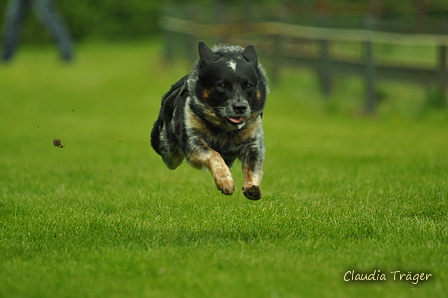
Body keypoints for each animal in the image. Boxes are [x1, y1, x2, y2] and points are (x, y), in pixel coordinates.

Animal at [150, 41, 270, 200]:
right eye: (222, 85)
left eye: (249, 85)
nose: (240, 107)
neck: (225, 129)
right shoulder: (192, 142)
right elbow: (213, 154)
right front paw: (225, 182)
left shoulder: (254, 143)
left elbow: (253, 166)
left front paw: (252, 187)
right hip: (167, 152)